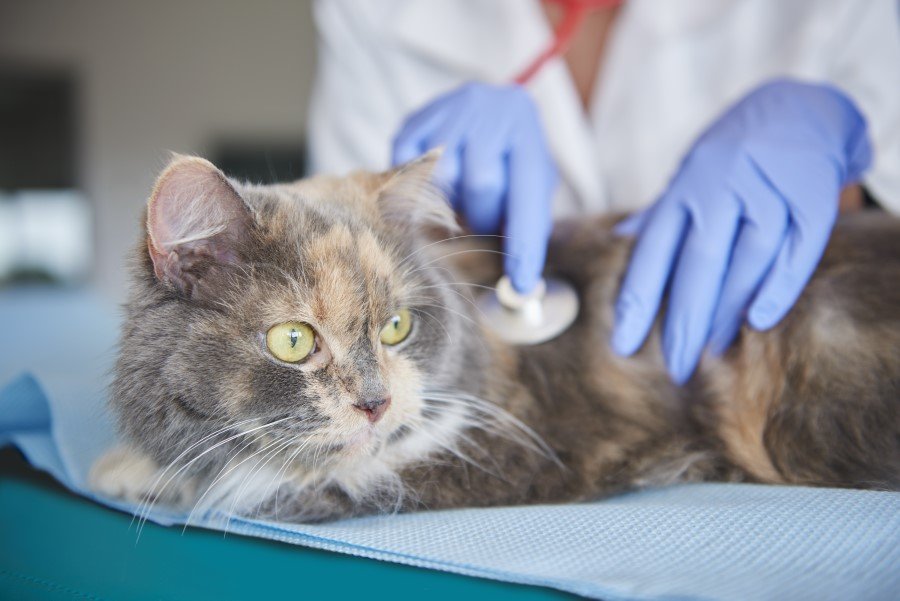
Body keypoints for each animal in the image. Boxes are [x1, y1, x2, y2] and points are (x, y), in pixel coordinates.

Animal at [89, 152, 900, 524]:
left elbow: (273, 483)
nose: (376, 404)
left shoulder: (523, 449)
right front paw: (130, 466)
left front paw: (154, 475)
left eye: (397, 327)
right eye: (293, 340)